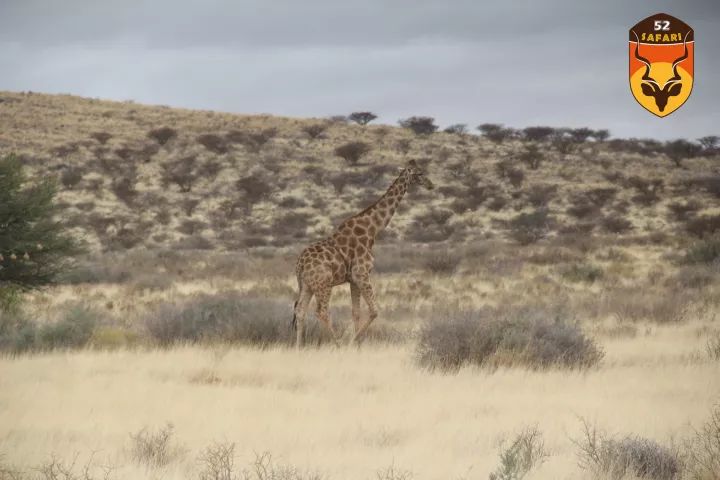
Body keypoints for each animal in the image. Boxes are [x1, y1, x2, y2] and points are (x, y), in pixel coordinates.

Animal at [292, 159, 434, 346]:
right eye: (419, 173)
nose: (431, 185)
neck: (371, 230)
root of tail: (299, 265)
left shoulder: (353, 279)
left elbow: (356, 313)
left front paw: (357, 345)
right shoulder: (362, 274)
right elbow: (374, 311)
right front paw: (353, 342)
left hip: (307, 285)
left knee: (300, 311)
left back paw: (298, 347)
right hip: (323, 284)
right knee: (321, 311)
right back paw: (338, 344)